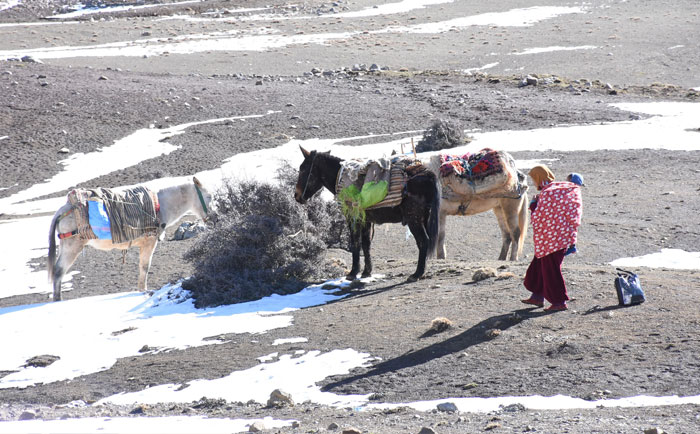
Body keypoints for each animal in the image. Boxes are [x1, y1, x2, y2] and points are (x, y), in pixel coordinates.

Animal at [47, 178, 215, 300]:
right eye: (209, 196)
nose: (215, 218)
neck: (160, 206)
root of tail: (63, 210)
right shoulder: (149, 242)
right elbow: (145, 267)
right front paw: (143, 290)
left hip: (65, 245)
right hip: (72, 246)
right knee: (59, 270)